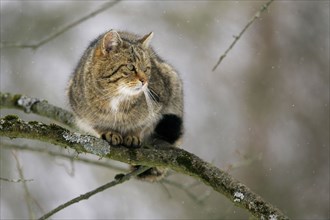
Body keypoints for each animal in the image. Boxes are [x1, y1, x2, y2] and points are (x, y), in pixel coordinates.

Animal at [68, 29, 184, 180]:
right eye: (131, 67)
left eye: (146, 68)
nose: (145, 81)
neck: (117, 97)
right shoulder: (80, 111)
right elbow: (96, 124)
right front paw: (109, 132)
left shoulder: (160, 103)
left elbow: (142, 124)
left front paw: (133, 135)